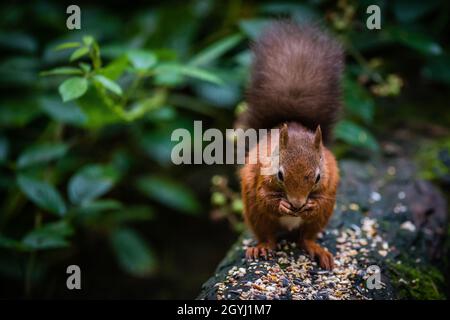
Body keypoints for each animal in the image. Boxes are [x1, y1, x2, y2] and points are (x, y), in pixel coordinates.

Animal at [237, 20, 342, 270]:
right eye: (280, 174)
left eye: (317, 177)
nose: (296, 204)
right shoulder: (260, 172)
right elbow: (265, 197)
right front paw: (281, 205)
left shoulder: (328, 180)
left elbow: (320, 199)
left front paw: (311, 204)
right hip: (254, 213)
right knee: (267, 234)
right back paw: (262, 247)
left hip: (321, 219)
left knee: (307, 237)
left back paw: (317, 249)